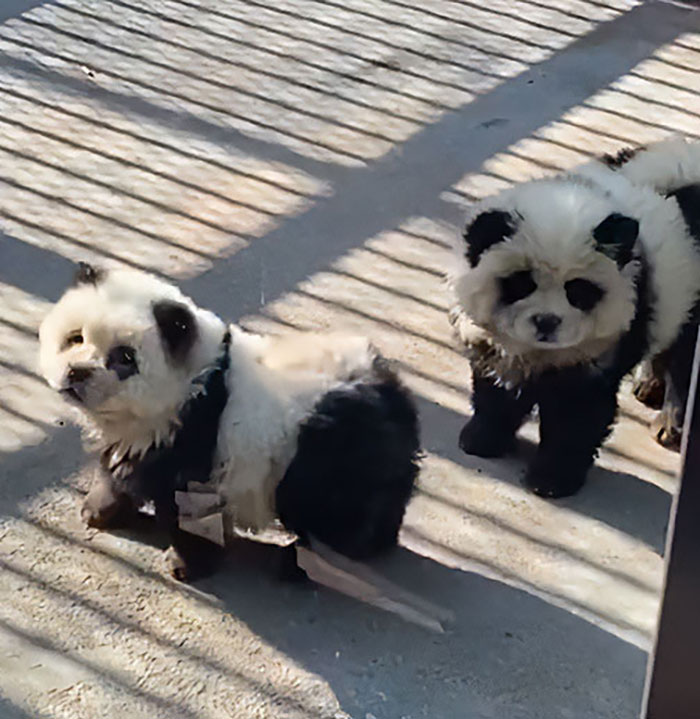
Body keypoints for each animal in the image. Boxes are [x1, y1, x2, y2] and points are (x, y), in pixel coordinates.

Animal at [39, 268, 422, 584]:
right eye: (75, 338)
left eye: (125, 357)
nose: (77, 373)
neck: (198, 379)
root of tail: (396, 397)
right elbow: (121, 467)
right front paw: (99, 510)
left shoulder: (195, 435)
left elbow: (186, 505)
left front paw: (188, 564)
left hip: (326, 453)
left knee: (331, 515)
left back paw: (299, 564)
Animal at [448, 139, 700, 500]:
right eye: (522, 283)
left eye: (578, 290)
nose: (546, 322)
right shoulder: (496, 344)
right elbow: (496, 388)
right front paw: (481, 438)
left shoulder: (600, 349)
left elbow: (577, 415)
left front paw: (552, 478)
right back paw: (649, 384)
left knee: (686, 358)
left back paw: (671, 423)